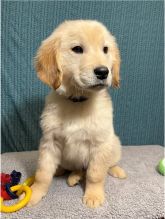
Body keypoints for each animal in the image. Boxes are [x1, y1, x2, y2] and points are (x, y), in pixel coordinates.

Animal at [28, 19, 126, 208]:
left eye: (105, 49)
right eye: (77, 49)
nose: (103, 72)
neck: (78, 101)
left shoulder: (100, 144)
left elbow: (95, 174)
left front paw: (94, 195)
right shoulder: (49, 142)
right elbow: (42, 173)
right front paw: (35, 193)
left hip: (114, 143)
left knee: (105, 165)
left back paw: (116, 170)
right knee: (76, 168)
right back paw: (67, 174)